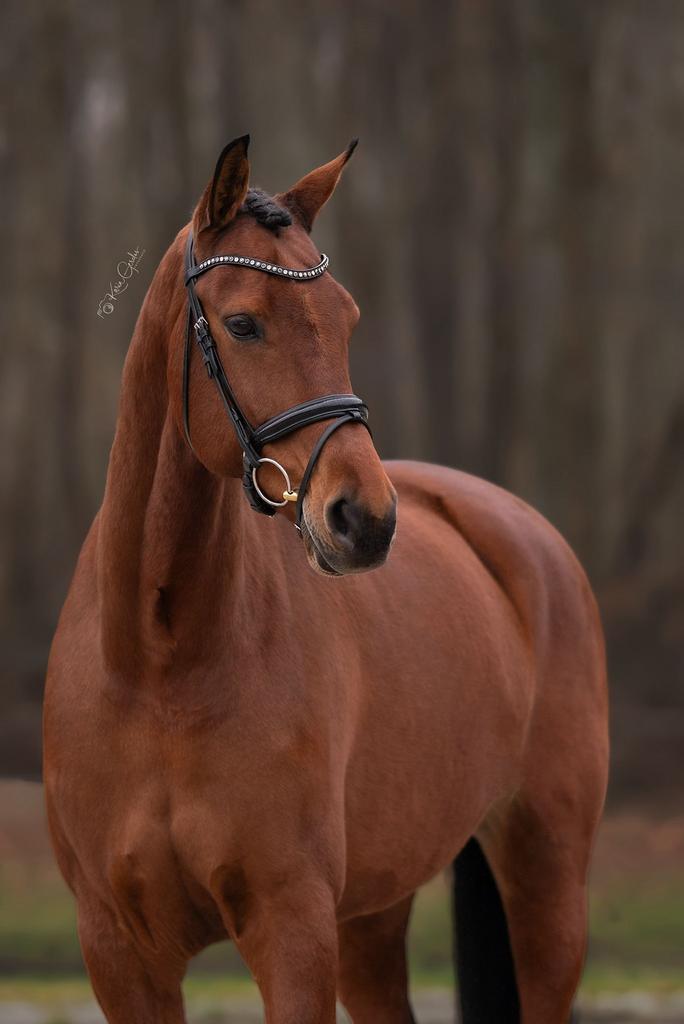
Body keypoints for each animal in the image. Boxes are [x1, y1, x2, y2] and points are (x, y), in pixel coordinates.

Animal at [44, 135, 609, 1024]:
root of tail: (522, 533)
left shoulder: (293, 928)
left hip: (547, 885)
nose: (364, 519)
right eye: (243, 323)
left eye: (346, 317)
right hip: (372, 920)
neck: (160, 664)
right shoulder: (120, 953)